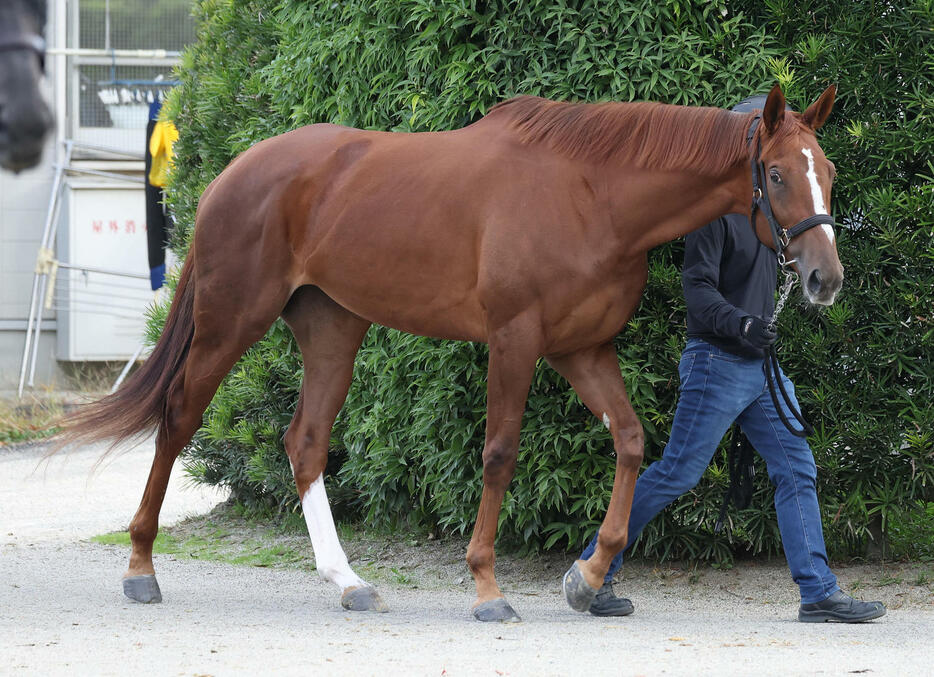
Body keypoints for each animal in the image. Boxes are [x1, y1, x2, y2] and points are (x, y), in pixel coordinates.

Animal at [62, 83, 844, 616]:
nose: (824, 278)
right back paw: (140, 568)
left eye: (828, 172)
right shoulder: (515, 340)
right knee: (178, 418)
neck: (592, 195)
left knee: (305, 440)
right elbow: (499, 454)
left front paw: (591, 577)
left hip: (332, 327)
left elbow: (629, 440)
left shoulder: (582, 349)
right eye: (777, 174)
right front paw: (487, 585)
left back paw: (348, 581)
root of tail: (229, 174)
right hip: (232, 320)